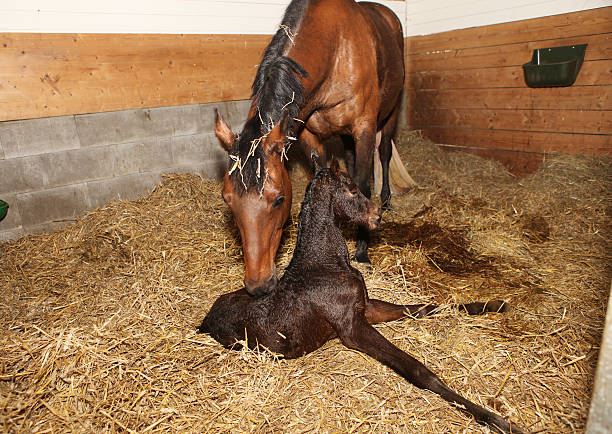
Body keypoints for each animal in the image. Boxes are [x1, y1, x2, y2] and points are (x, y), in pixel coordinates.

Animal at [198, 159, 524, 434]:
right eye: (353, 189)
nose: (377, 215)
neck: (324, 266)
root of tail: (206, 320)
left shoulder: (366, 308)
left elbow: (422, 308)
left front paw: (493, 304)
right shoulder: (352, 329)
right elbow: (418, 369)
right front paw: (497, 420)